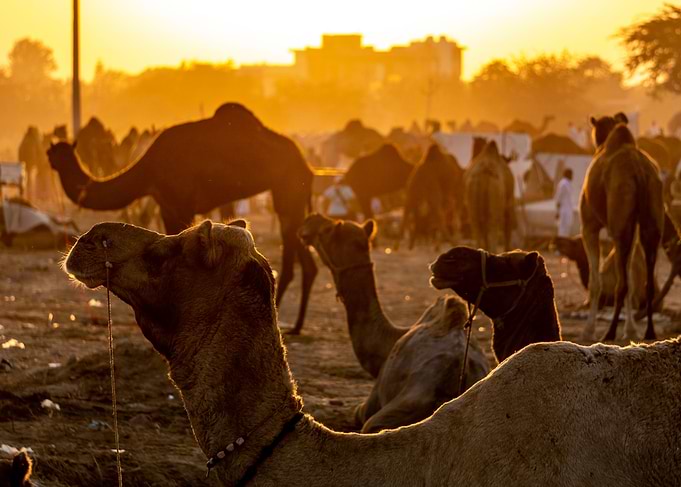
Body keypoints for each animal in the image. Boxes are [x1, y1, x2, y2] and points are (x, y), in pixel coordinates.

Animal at [48, 102, 317, 335]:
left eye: (53, 153)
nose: (52, 157)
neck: (147, 171)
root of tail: (307, 165)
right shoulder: (166, 207)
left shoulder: (181, 204)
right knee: (304, 257)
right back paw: (294, 325)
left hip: (288, 188)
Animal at [580, 113, 664, 341]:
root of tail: (640, 173)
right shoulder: (631, 228)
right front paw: (631, 330)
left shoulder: (589, 225)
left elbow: (595, 282)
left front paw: (589, 330)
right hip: (651, 220)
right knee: (645, 283)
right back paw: (649, 331)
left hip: (619, 223)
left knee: (622, 284)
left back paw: (608, 333)